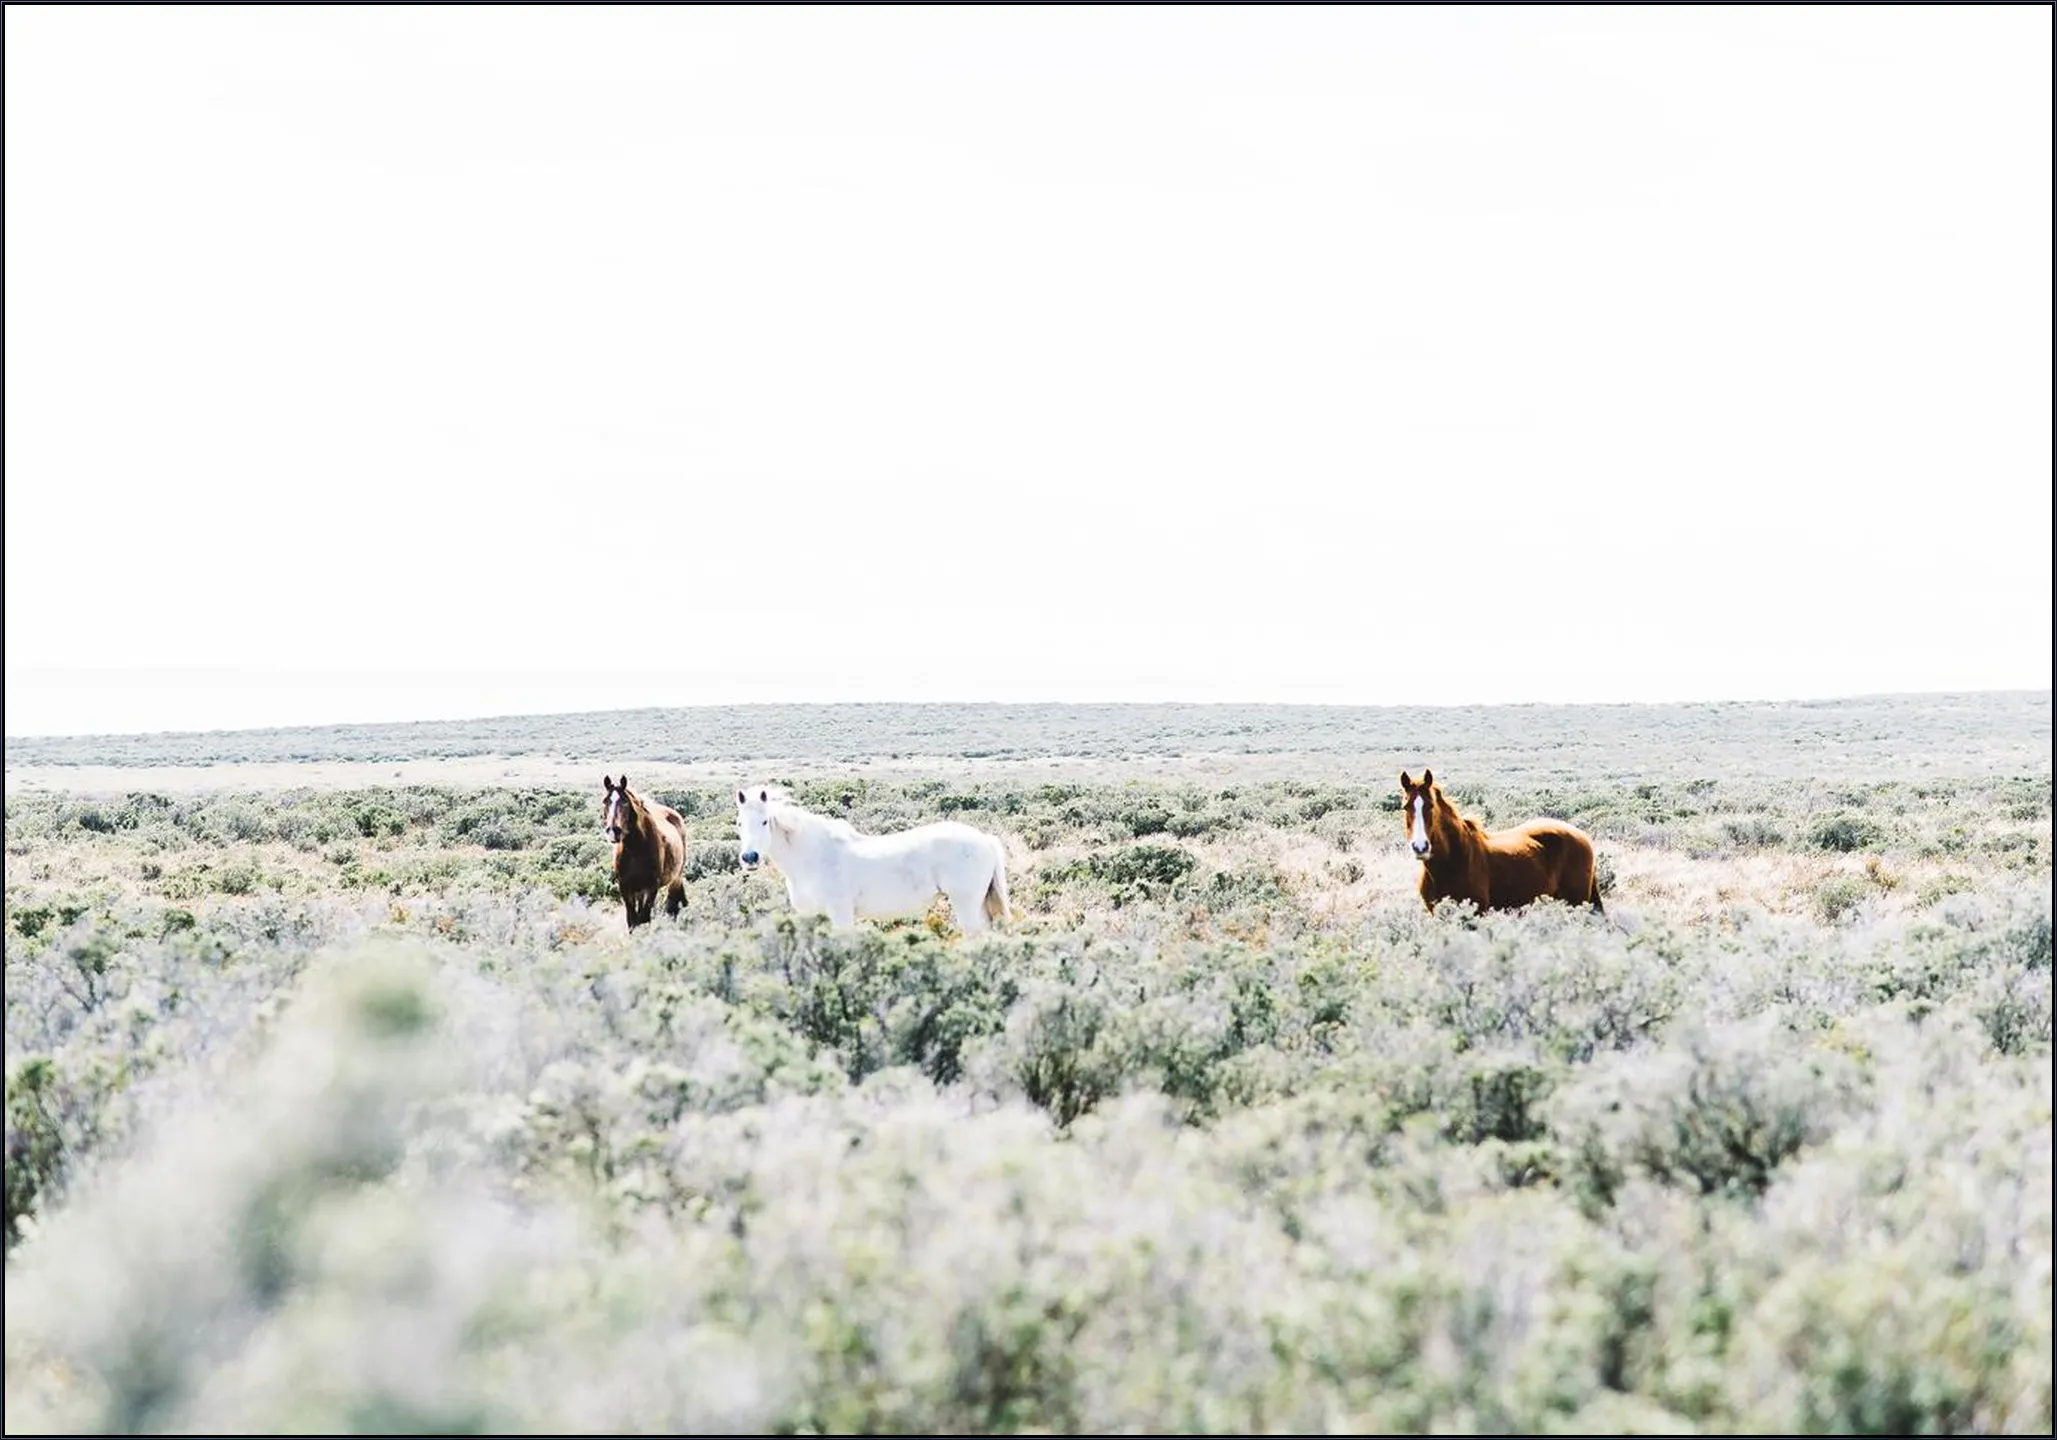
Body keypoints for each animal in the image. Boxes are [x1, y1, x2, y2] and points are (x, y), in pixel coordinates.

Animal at [602, 774, 689, 929]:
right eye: (605, 801)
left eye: (625, 802)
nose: (613, 831)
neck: (635, 849)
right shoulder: (626, 888)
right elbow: (632, 921)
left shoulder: (651, 887)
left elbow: (644, 919)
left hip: (676, 878)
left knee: (672, 905)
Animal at [734, 785, 1012, 936]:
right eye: (739, 823)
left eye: (765, 821)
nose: (750, 857)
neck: (812, 856)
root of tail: (985, 839)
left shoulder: (841, 914)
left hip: (967, 905)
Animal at [1399, 768, 1604, 916]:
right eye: (1405, 806)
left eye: (1430, 805)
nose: (1420, 847)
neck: (1451, 861)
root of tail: (1583, 836)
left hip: (1577, 902)